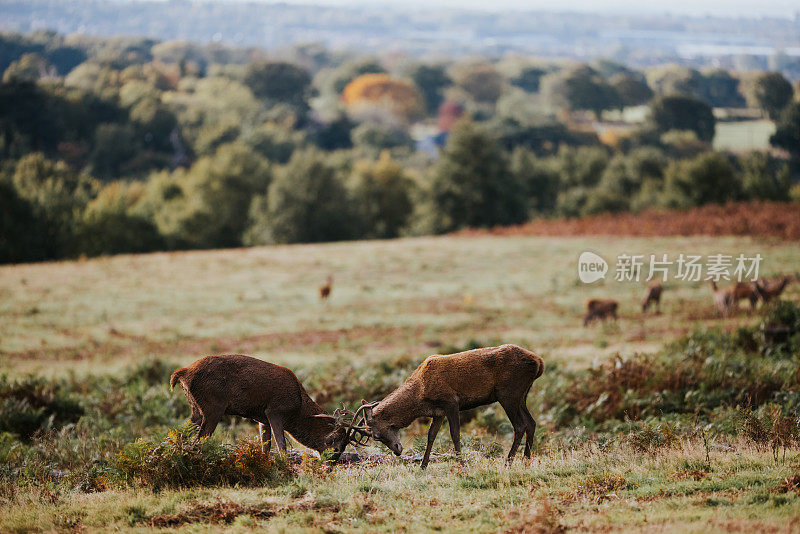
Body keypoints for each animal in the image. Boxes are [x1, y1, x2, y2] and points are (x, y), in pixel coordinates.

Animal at [171, 356, 368, 460]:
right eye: (335, 442)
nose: (332, 461)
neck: (297, 410)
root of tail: (183, 373)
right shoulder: (275, 411)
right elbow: (282, 446)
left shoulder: (261, 418)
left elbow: (265, 446)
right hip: (213, 406)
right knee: (199, 440)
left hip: (196, 408)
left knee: (183, 433)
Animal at [356, 348, 544, 468]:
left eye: (376, 435)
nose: (397, 450)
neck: (420, 394)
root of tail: (539, 362)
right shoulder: (438, 412)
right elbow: (431, 435)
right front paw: (423, 465)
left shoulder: (451, 402)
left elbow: (455, 434)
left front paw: (461, 463)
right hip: (522, 395)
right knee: (531, 423)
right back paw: (526, 460)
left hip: (508, 393)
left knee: (520, 425)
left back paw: (509, 461)